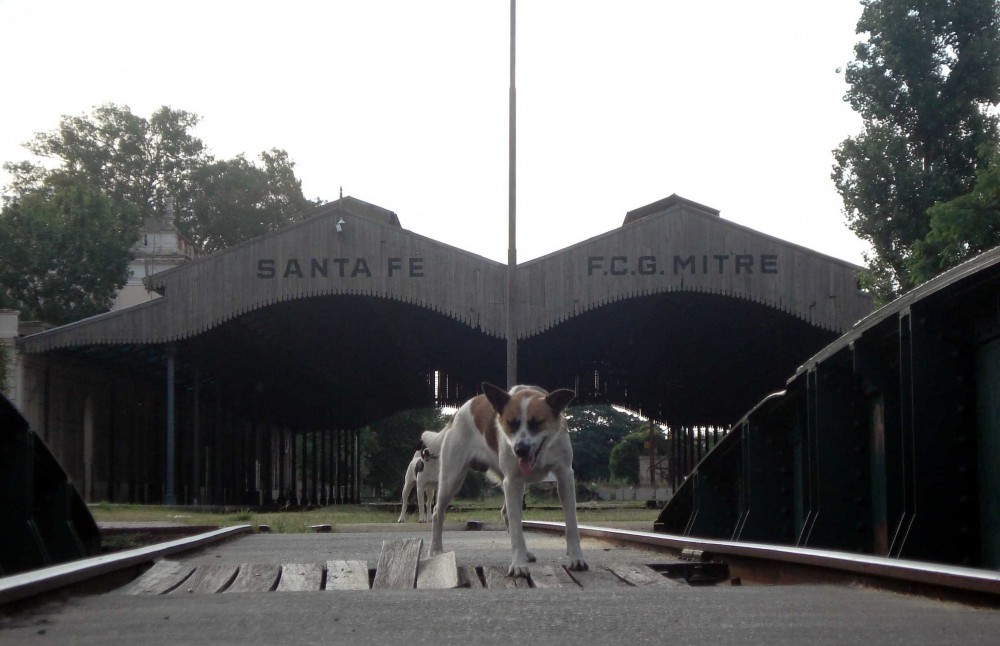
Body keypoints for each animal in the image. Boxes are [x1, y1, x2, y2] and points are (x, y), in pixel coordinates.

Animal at [424, 384, 584, 576]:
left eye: (536, 423)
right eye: (511, 423)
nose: (520, 450)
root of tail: (456, 414)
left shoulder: (565, 475)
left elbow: (571, 522)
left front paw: (576, 558)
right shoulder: (512, 481)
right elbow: (516, 528)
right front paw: (518, 565)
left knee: (505, 512)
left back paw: (525, 553)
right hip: (452, 478)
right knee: (437, 512)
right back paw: (435, 549)